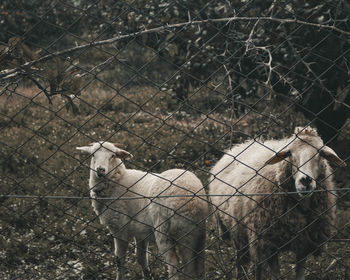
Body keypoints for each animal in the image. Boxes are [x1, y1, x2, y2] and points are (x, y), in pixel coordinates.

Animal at [76, 142, 208, 280]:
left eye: (112, 156)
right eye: (93, 155)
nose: (100, 170)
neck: (118, 181)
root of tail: (191, 200)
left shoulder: (119, 227)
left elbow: (119, 259)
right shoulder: (140, 231)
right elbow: (141, 257)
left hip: (163, 231)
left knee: (174, 266)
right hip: (193, 234)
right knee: (195, 266)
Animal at [208, 127, 348, 280]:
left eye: (321, 153)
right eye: (289, 153)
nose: (305, 181)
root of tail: (241, 145)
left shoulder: (304, 244)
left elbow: (300, 274)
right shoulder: (269, 244)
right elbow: (275, 274)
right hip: (242, 233)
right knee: (249, 263)